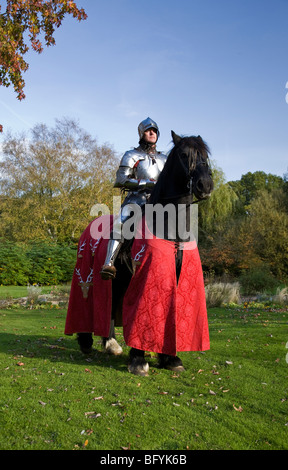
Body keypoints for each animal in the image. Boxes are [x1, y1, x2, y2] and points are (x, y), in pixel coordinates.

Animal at [74, 130, 214, 376]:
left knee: (111, 305)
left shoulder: (174, 276)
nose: (205, 184)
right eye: (184, 155)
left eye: (205, 155)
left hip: (118, 281)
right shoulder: (144, 277)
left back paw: (111, 343)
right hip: (92, 276)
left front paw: (170, 358)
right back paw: (86, 341)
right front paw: (139, 360)